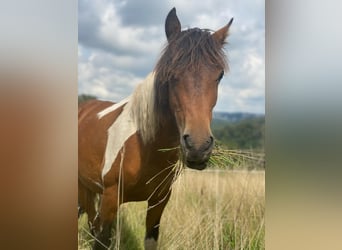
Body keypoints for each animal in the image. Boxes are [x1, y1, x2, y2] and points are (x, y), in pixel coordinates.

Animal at [78, 7, 232, 250]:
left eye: (219, 75)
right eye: (171, 74)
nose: (198, 147)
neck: (144, 145)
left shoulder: (159, 201)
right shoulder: (110, 199)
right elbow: (101, 239)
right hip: (84, 188)